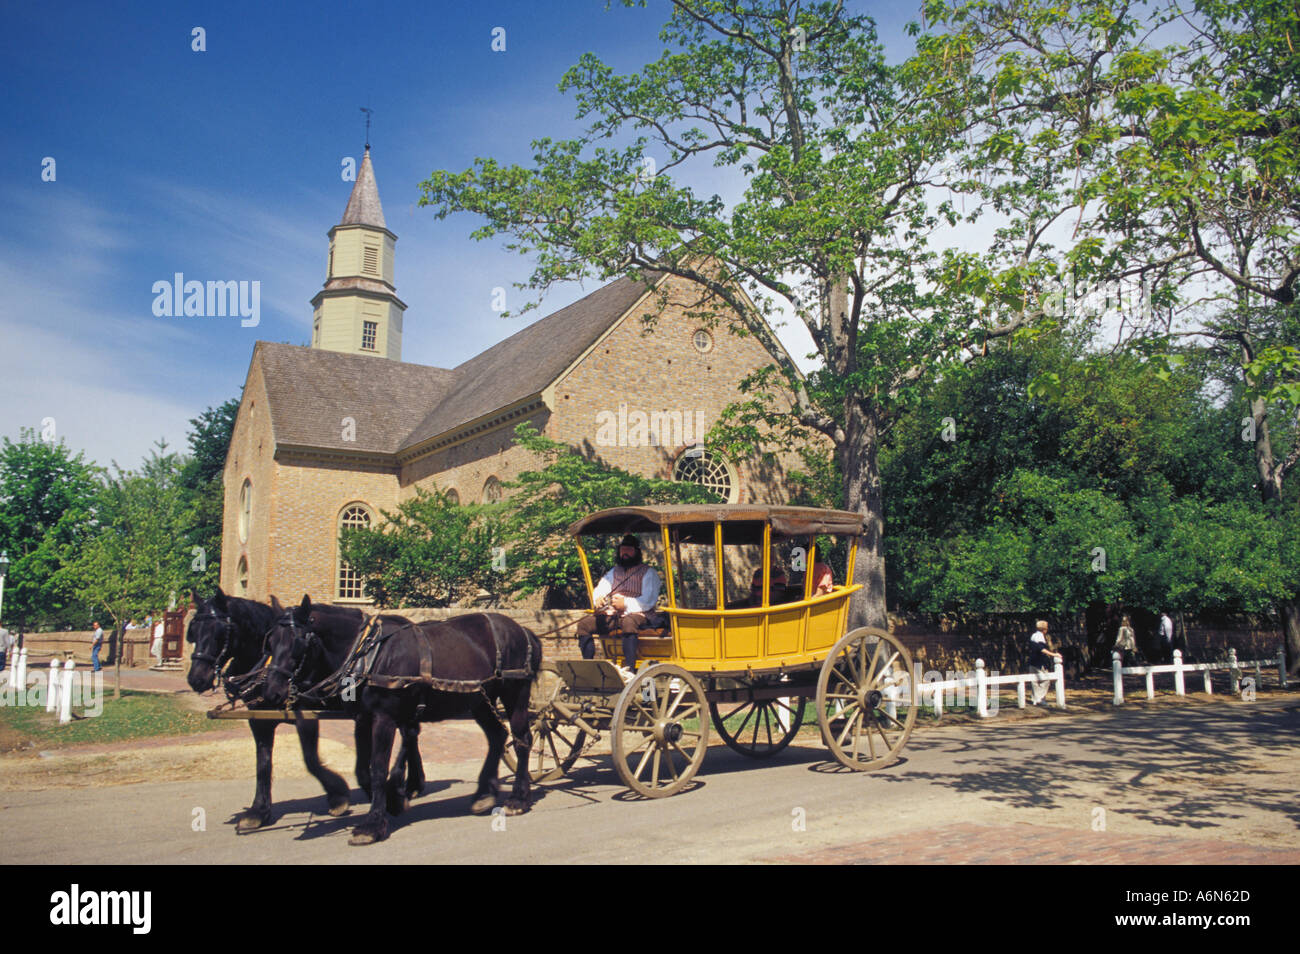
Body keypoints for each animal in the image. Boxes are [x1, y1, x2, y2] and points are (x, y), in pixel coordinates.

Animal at [185, 595, 421, 831]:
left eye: (219, 632)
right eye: (193, 631)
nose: (196, 679)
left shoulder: (306, 714)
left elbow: (310, 759)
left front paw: (338, 796)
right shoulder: (259, 719)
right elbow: (263, 762)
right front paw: (258, 811)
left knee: (408, 734)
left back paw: (403, 783)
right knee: (411, 734)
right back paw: (413, 784)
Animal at [263, 597, 538, 842]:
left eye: (298, 642)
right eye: (270, 642)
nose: (272, 692)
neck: (368, 655)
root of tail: (522, 629)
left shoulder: (384, 718)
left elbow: (378, 768)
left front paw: (372, 825)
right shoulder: (362, 718)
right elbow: (362, 770)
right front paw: (393, 802)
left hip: (515, 694)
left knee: (522, 739)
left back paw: (519, 798)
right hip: (480, 700)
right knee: (497, 736)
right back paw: (484, 794)